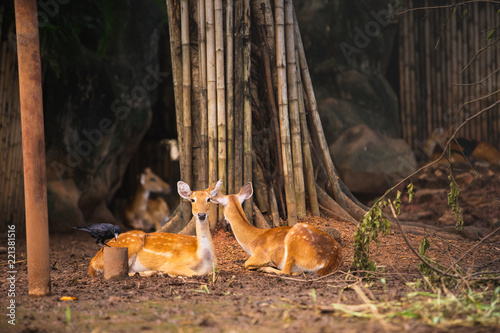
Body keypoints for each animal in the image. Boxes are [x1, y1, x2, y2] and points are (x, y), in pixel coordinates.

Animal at [88, 180, 221, 276]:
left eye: (208, 199)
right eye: (193, 200)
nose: (201, 215)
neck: (203, 258)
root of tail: (92, 263)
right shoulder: (173, 263)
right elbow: (194, 274)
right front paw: (170, 273)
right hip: (130, 244)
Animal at [209, 182, 342, 274]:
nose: (224, 221)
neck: (252, 242)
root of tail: (330, 260)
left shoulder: (261, 255)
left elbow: (246, 264)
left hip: (293, 241)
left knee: (286, 271)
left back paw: (266, 268)